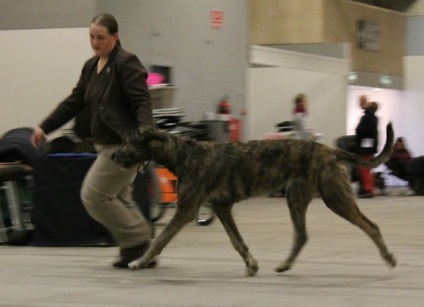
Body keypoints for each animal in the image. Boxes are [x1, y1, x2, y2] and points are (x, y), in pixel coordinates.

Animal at [111, 123, 396, 276]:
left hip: (335, 197)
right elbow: (237, 241)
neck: (183, 155)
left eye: (128, 141)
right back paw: (284, 265)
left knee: (371, 226)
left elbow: (160, 239)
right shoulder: (222, 207)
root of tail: (331, 150)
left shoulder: (186, 210)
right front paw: (251, 264)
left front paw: (140, 261)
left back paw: (389, 257)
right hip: (296, 198)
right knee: (301, 236)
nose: (113, 156)